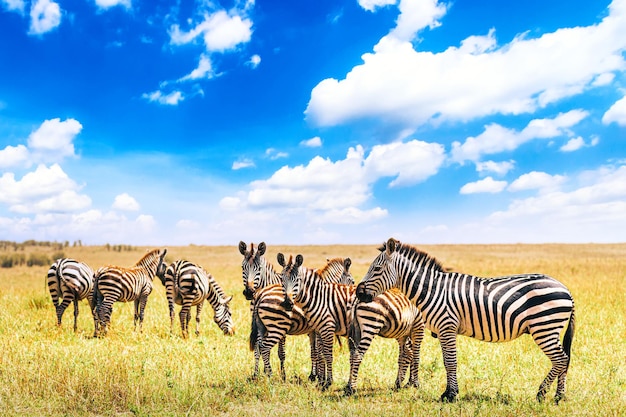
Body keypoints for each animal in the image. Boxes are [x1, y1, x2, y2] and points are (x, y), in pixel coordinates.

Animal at [276, 252, 354, 392]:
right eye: (281, 279)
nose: (287, 303)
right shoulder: (318, 329)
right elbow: (319, 352)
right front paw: (320, 378)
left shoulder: (314, 331)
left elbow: (316, 352)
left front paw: (316, 376)